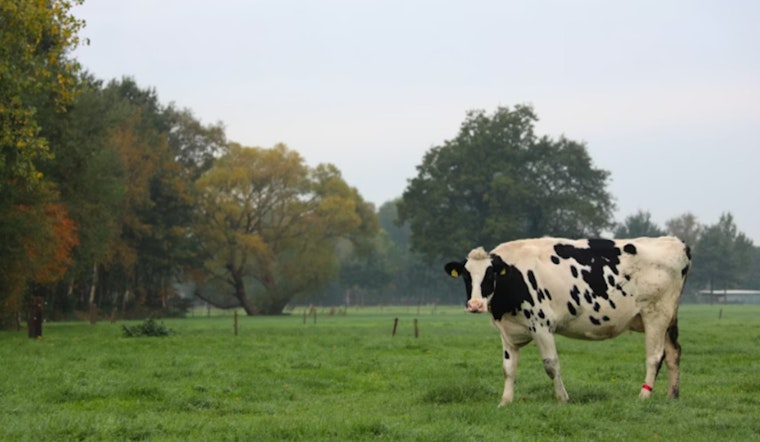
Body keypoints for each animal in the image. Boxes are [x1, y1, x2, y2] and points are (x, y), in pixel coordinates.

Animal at [444, 236, 691, 405]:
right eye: (466, 275)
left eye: (490, 274)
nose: (475, 304)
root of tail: (674, 241)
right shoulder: (507, 331)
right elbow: (508, 368)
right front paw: (505, 402)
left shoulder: (541, 325)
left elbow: (551, 365)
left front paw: (563, 398)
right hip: (669, 319)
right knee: (674, 353)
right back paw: (672, 395)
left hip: (656, 314)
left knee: (655, 356)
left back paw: (643, 395)